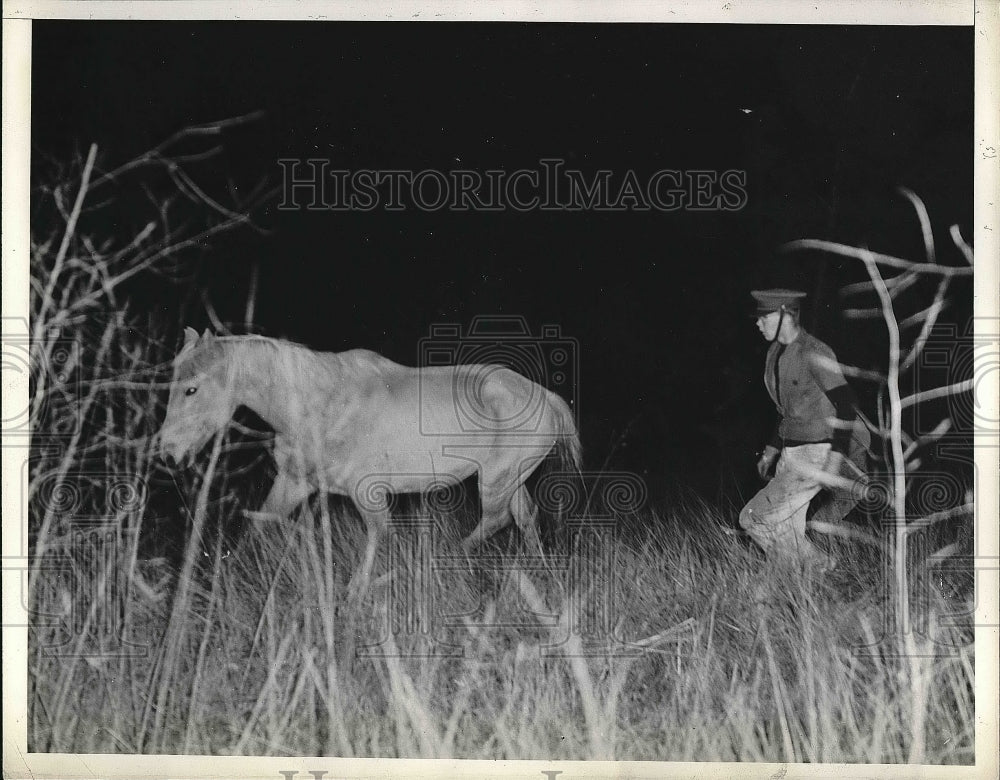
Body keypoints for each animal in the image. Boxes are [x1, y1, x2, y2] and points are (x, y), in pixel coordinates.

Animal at [155, 328, 580, 592]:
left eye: (191, 389)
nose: (168, 452)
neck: (318, 403)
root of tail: (547, 398)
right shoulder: (294, 482)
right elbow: (260, 524)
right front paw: (224, 581)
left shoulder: (369, 492)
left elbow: (379, 535)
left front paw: (359, 590)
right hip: (510, 478)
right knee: (525, 517)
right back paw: (538, 572)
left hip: (495, 479)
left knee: (497, 520)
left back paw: (447, 558)